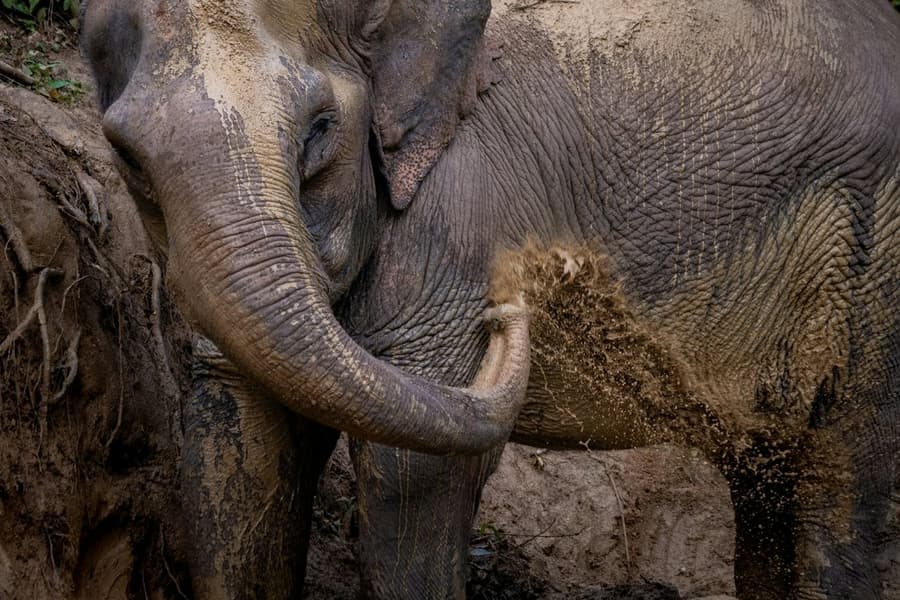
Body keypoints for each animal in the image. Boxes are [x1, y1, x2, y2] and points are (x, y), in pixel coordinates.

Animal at [81, 0, 900, 598]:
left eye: (319, 130)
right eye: (125, 156)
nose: (511, 306)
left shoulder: (454, 226)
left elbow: (407, 476)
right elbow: (239, 448)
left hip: (879, 270)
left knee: (841, 492)